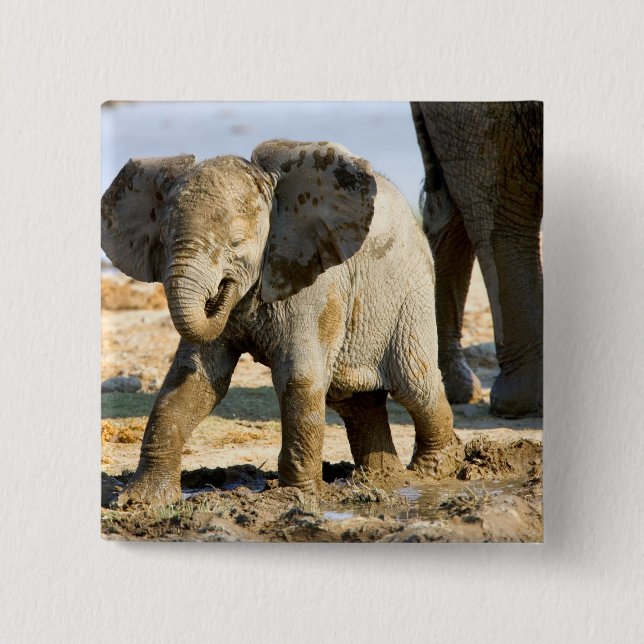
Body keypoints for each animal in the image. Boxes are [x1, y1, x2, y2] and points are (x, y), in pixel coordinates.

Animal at [101, 139, 463, 505]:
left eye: (236, 243)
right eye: (163, 241)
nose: (220, 292)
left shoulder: (315, 281)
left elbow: (298, 377)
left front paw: (294, 498)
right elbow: (193, 379)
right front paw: (140, 501)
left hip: (411, 291)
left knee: (414, 383)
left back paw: (431, 472)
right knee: (354, 400)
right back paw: (381, 478)